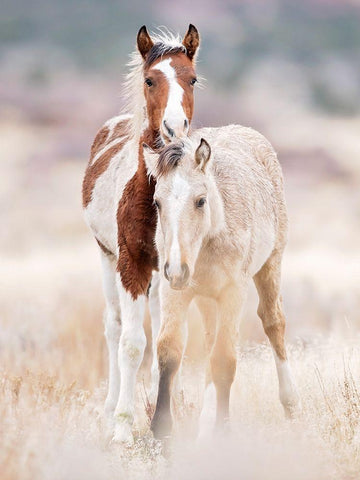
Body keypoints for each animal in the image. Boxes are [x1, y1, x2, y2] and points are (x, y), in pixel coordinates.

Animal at [81, 23, 200, 442]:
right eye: (150, 80)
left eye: (192, 79)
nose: (174, 129)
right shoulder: (130, 264)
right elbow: (131, 344)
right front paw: (122, 427)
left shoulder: (172, 270)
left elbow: (170, 342)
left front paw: (169, 418)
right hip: (107, 260)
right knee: (114, 328)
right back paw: (110, 411)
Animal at [143, 126, 300, 438]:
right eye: (157, 202)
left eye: (200, 201)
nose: (177, 269)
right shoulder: (174, 291)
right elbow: (169, 351)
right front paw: (162, 430)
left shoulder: (232, 292)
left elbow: (225, 359)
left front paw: (222, 432)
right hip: (206, 299)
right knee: (209, 341)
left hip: (271, 264)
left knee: (273, 322)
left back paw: (290, 403)